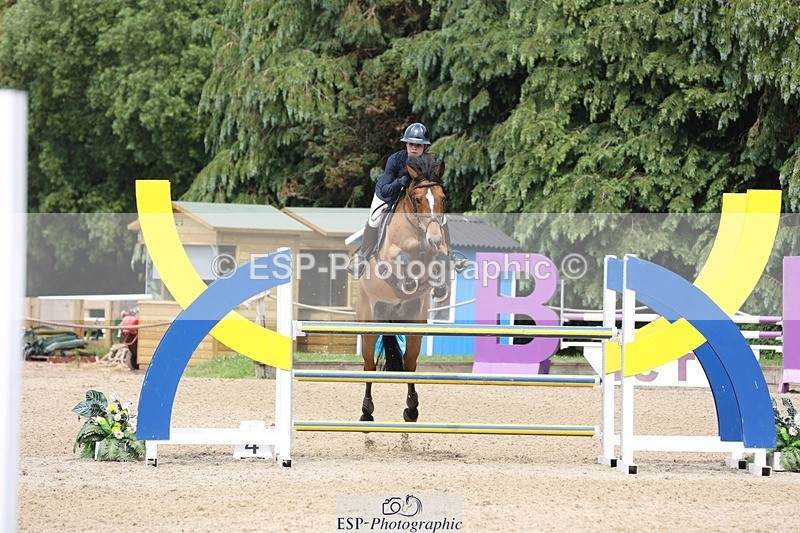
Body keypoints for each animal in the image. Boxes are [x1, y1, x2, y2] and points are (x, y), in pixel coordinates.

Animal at [357, 153, 452, 423]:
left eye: (442, 198)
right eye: (417, 199)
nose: (434, 238)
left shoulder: (438, 249)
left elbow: (441, 257)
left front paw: (439, 286)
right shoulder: (391, 253)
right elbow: (402, 257)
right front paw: (408, 280)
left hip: (414, 322)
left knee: (410, 363)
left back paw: (412, 408)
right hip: (369, 320)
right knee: (368, 366)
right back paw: (366, 411)